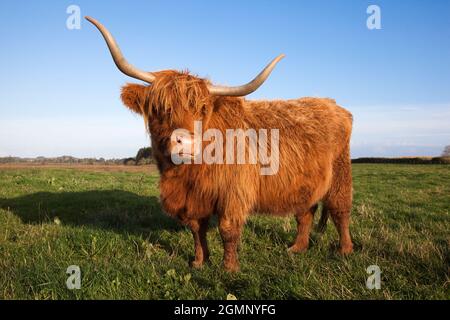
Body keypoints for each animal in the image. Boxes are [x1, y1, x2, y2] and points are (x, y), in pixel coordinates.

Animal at [88, 16, 354, 272]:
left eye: (202, 110)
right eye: (161, 108)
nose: (185, 142)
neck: (186, 175)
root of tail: (333, 105)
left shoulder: (234, 192)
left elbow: (227, 230)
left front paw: (229, 268)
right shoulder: (194, 200)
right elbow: (197, 229)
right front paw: (199, 261)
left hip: (340, 175)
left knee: (340, 211)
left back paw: (345, 250)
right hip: (305, 183)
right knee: (306, 213)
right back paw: (297, 248)